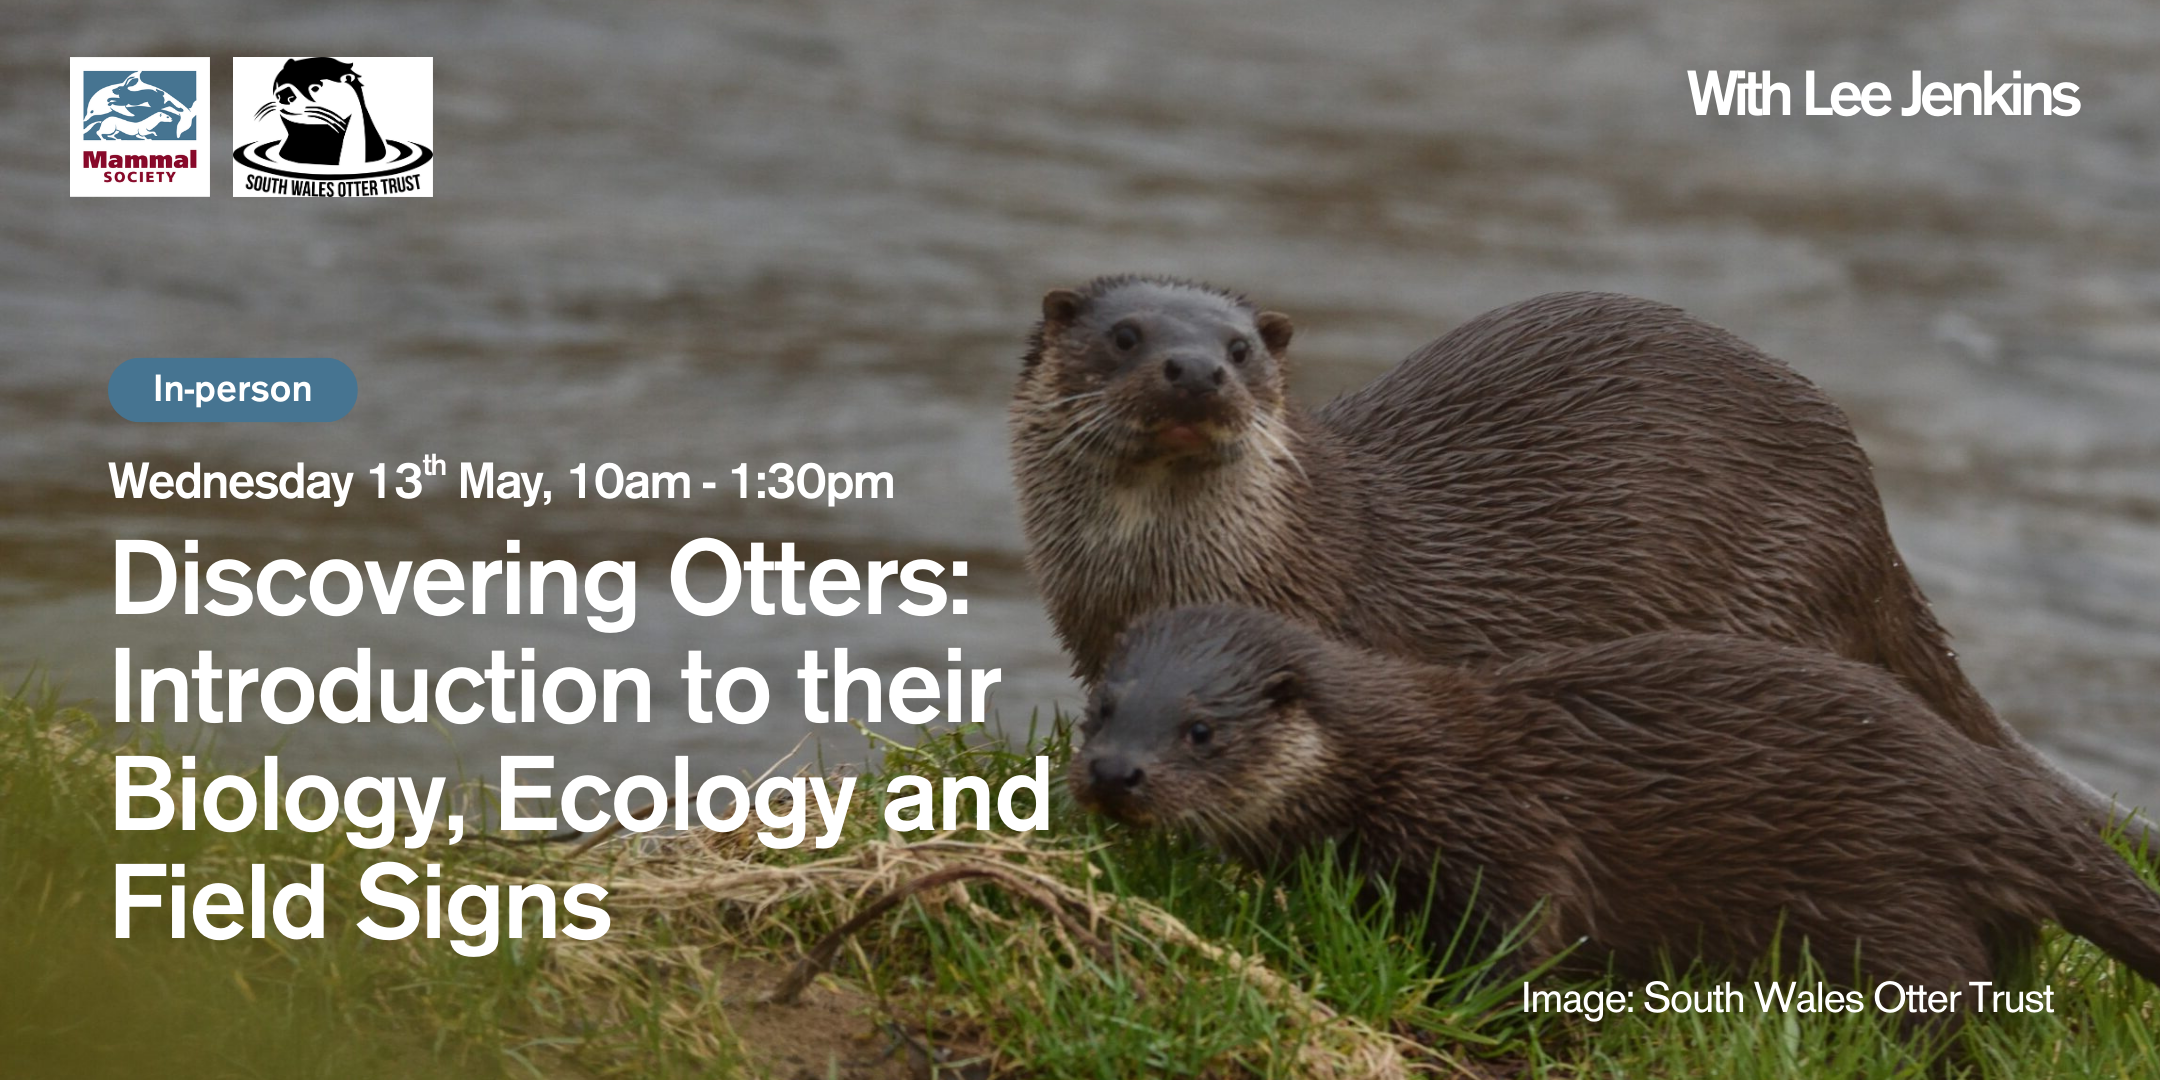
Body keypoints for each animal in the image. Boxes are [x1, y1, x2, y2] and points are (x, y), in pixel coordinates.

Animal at [1072, 604, 2160, 1014]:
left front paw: (1448, 1002)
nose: (1114, 775)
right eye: (1103, 708)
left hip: (1889, 893)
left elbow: (1523, 936)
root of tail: (1974, 782)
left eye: (1200, 730)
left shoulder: (1507, 830)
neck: (1410, 762)